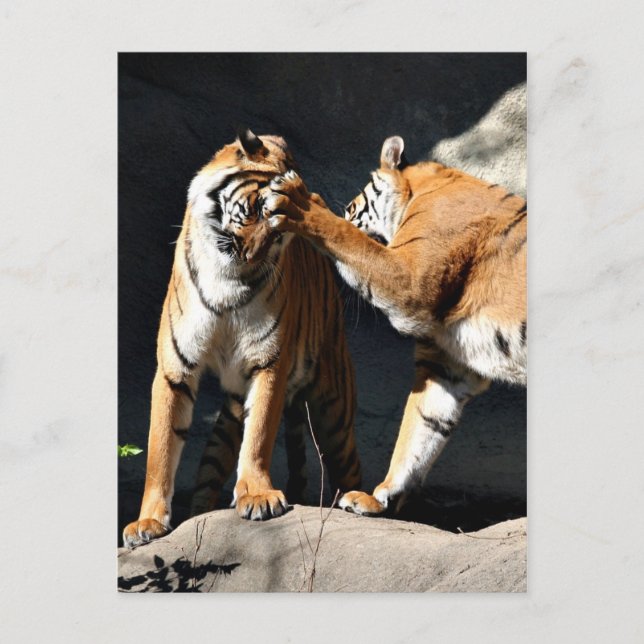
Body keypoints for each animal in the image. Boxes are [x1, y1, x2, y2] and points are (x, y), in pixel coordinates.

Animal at [122, 129, 361, 548]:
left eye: (280, 231)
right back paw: (199, 514)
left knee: (350, 464)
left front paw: (257, 495)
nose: (250, 254)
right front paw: (147, 522)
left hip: (333, 405)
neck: (227, 281)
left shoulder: (269, 363)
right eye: (256, 211)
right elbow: (160, 448)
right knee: (212, 462)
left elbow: (260, 432)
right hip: (233, 404)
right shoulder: (174, 368)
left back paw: (364, 502)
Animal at [260, 135, 526, 518]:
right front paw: (379, 497)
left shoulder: (409, 279)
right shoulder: (446, 365)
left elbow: (351, 242)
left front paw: (300, 204)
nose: (347, 209)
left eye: (352, 206)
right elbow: (420, 429)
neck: (419, 190)